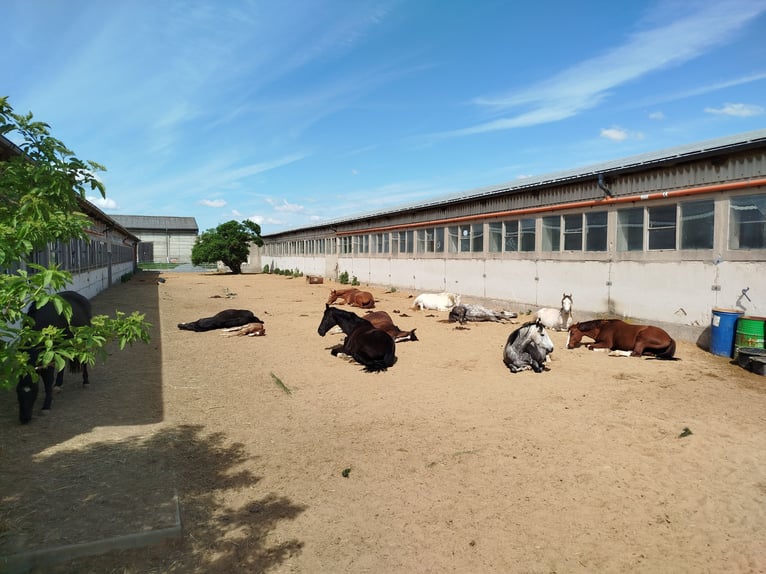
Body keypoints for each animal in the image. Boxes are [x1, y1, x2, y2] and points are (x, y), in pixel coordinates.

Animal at [16, 291, 92, 424]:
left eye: (34, 391)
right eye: (18, 392)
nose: (24, 418)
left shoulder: (48, 361)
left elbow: (48, 383)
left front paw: (46, 406)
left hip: (82, 341)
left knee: (84, 361)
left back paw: (85, 381)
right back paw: (58, 385)